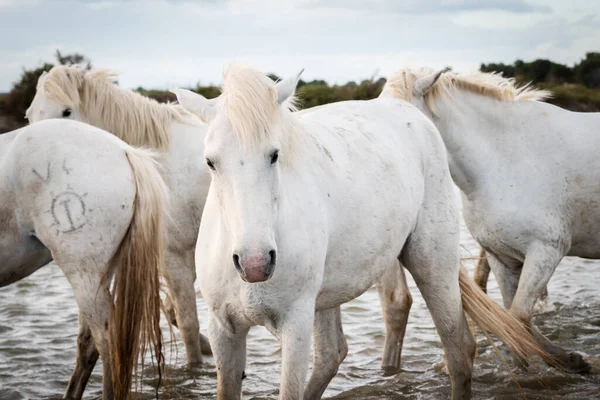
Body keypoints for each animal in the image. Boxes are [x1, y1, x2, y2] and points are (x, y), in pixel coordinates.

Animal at [28, 64, 418, 380]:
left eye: (66, 111)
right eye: (31, 115)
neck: (160, 162)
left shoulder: (174, 257)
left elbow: (186, 321)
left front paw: (195, 365)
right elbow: (175, 314)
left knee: (395, 302)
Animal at [171, 64, 548, 398]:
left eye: (274, 154)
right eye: (210, 162)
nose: (255, 263)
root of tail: (406, 110)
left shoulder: (294, 327)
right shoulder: (223, 330)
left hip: (433, 266)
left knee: (458, 351)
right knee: (331, 355)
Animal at [382, 67, 600, 374]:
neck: (503, 158)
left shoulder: (547, 250)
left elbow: (517, 317)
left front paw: (567, 360)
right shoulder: (502, 256)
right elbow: (513, 319)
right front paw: (552, 363)